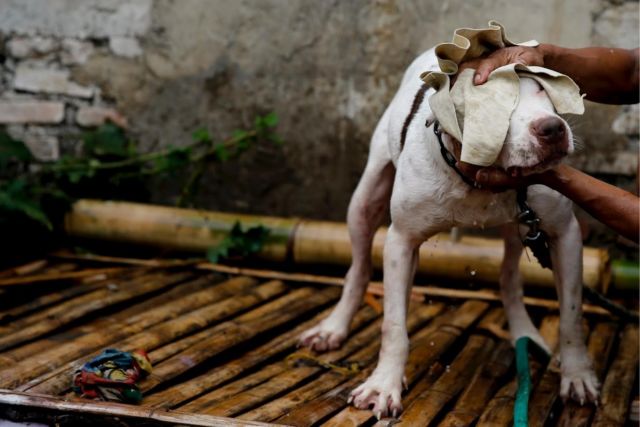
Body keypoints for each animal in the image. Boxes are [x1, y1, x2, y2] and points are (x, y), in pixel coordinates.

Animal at [298, 47, 596, 418]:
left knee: (509, 277)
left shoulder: (563, 234)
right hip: (364, 201)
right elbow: (392, 325)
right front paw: (383, 385)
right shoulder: (401, 241)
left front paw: (578, 375)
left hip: (520, 228)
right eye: (493, 103)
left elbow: (572, 315)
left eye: (543, 90)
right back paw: (332, 328)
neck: (475, 180)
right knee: (360, 268)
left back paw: (523, 333)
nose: (553, 128)